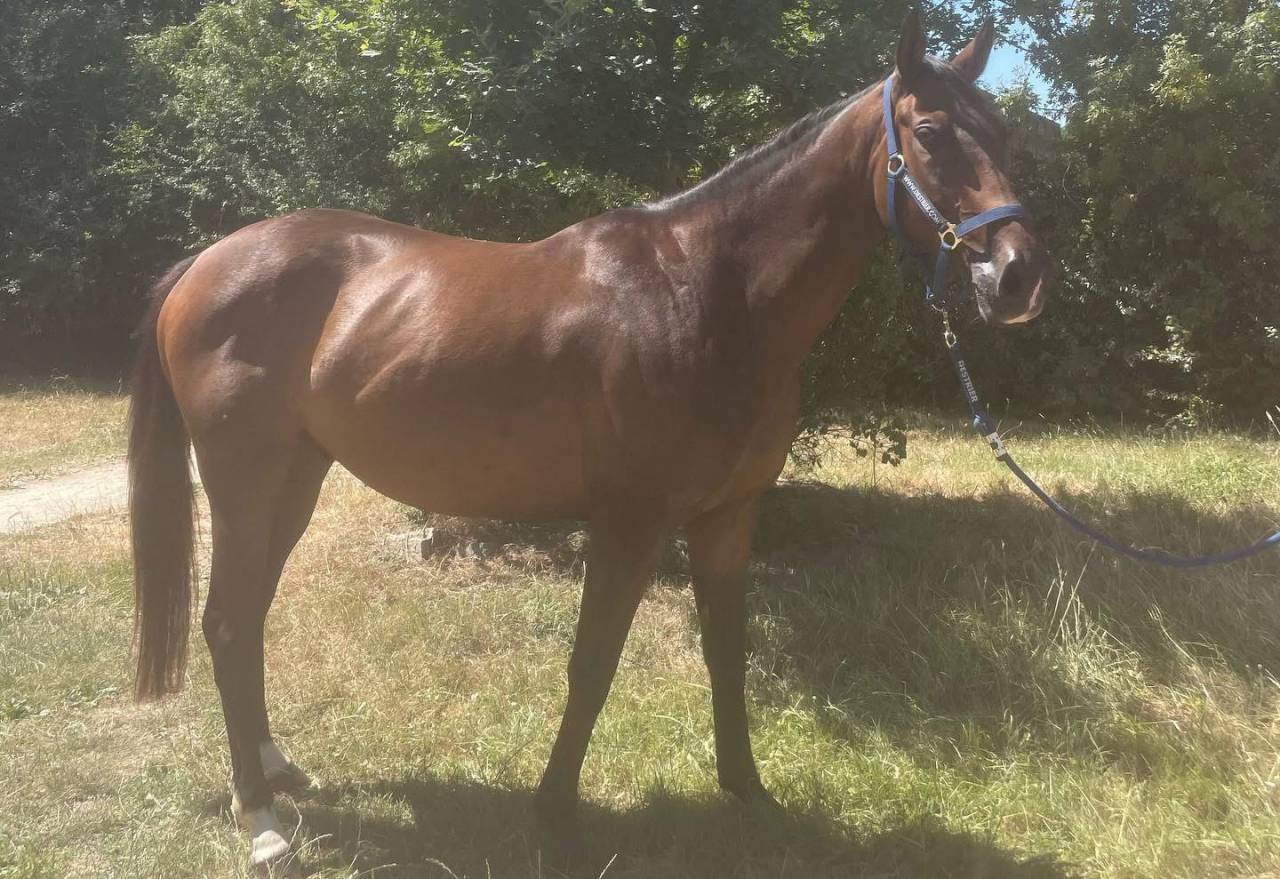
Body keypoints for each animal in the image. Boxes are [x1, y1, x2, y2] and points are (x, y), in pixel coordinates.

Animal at [127, 12, 1047, 874]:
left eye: (1003, 132)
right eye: (931, 132)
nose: (1019, 275)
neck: (706, 291)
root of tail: (202, 264)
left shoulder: (727, 518)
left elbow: (728, 652)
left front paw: (748, 793)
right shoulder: (630, 522)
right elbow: (593, 662)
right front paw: (558, 815)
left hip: (296, 482)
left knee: (247, 618)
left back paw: (275, 774)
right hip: (244, 484)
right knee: (226, 622)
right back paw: (261, 822)